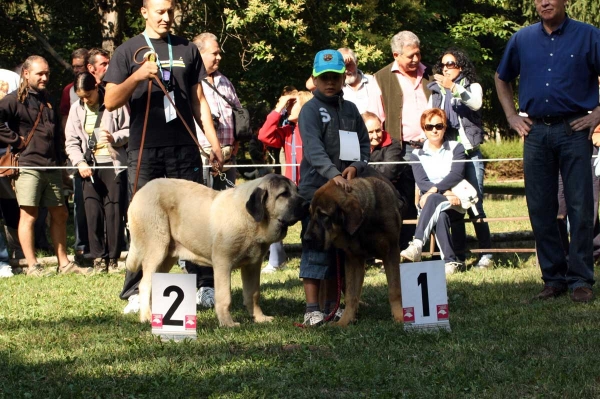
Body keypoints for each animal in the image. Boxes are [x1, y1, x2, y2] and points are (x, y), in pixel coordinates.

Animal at [125, 175, 308, 328]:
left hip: (166, 257)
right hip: (157, 249)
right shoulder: (223, 264)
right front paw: (228, 323)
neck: (248, 219)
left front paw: (259, 318)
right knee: (144, 285)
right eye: (283, 194)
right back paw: (147, 317)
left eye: (297, 190)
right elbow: (225, 296)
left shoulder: (252, 266)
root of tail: (140, 192)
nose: (306, 203)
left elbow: (253, 294)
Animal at [304, 173, 404, 328]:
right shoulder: (353, 259)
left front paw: (400, 315)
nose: (306, 239)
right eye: (311, 214)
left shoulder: (391, 253)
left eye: (323, 215)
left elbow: (395, 289)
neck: (365, 223)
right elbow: (351, 294)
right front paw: (344, 321)